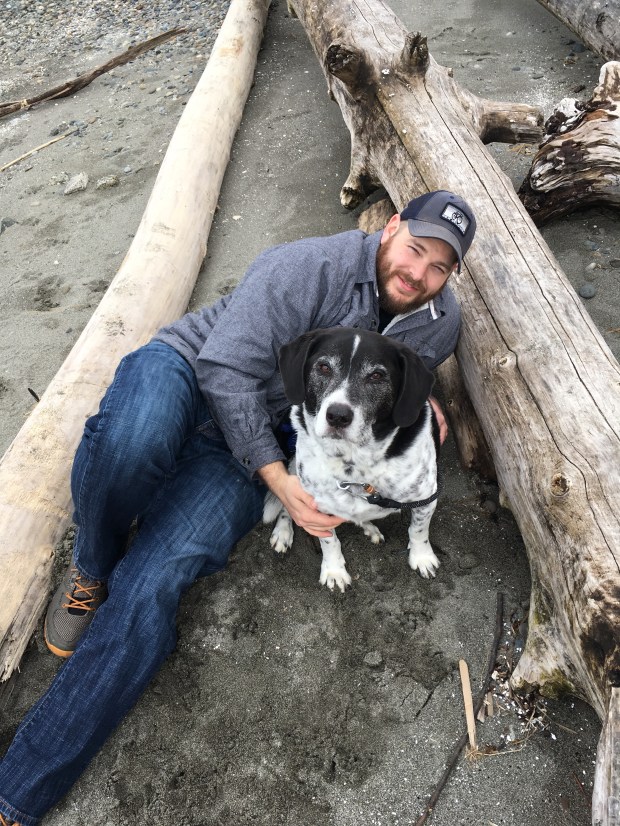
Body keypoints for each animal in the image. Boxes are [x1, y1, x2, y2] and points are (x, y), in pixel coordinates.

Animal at [263, 327, 441, 591]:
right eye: (323, 367)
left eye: (376, 376)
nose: (337, 415)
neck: (355, 467)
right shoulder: (318, 510)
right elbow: (329, 542)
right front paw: (333, 570)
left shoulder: (427, 497)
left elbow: (419, 531)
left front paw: (421, 558)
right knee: (288, 505)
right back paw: (283, 531)